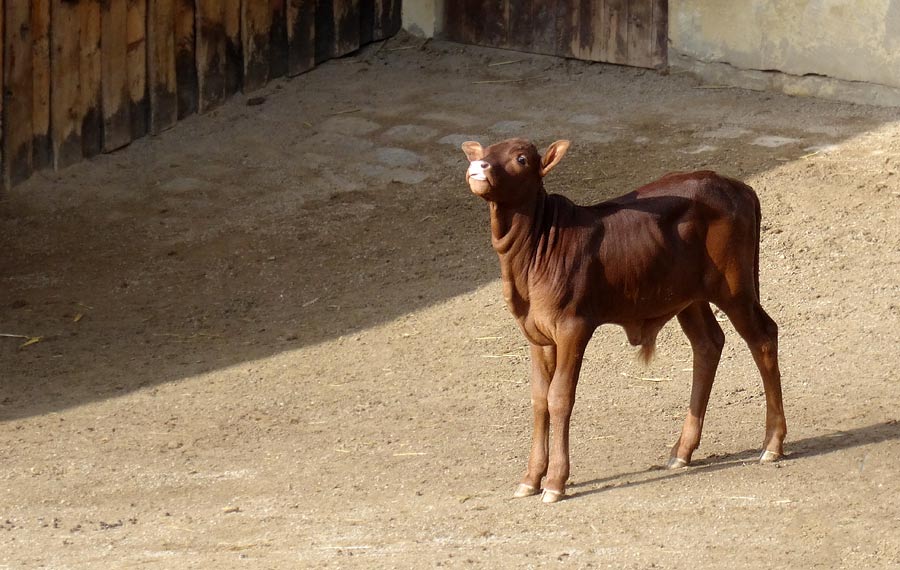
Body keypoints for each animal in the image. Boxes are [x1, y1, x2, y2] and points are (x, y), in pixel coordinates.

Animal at [460, 138, 784, 502]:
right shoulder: (536, 334)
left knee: (763, 336)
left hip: (733, 285)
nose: (479, 167)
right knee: (708, 344)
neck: (535, 251)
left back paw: (772, 444)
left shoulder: (573, 325)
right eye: (485, 152)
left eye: (521, 159)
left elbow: (560, 397)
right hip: (688, 295)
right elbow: (539, 398)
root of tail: (738, 186)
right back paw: (682, 450)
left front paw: (555, 482)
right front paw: (530, 477)